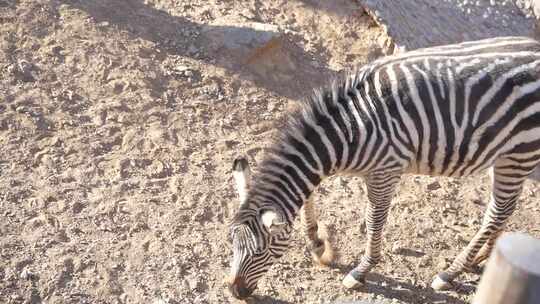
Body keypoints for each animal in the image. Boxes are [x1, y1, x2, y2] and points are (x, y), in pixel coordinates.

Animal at [226, 36, 540, 300]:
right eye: (232, 243)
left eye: (261, 251)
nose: (235, 292)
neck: (348, 130)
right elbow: (307, 197)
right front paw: (317, 244)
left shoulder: (385, 170)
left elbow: (374, 220)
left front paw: (361, 271)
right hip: (508, 156)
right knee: (504, 209)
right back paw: (483, 257)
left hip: (519, 152)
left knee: (497, 212)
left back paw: (450, 273)